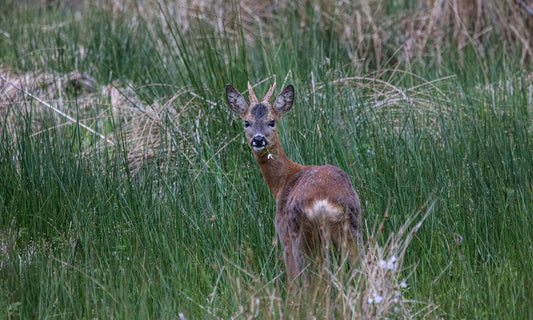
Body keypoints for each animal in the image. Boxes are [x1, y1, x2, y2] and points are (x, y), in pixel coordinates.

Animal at [224, 82, 362, 282]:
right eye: (246, 122)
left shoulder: (283, 233)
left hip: (302, 235)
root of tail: (324, 203)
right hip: (352, 225)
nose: (258, 139)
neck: (284, 181)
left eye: (272, 121)